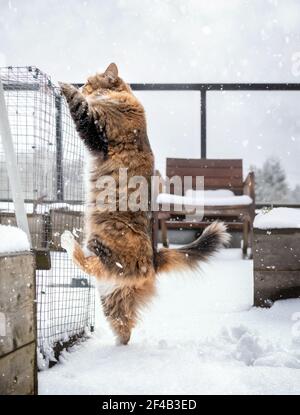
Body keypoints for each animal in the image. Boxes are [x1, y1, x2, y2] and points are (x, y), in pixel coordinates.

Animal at [59, 63, 231, 346]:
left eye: (89, 82)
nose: (82, 85)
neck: (125, 99)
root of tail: (154, 257)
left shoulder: (96, 127)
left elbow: (78, 105)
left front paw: (64, 85)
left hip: (103, 241)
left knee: (86, 262)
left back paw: (67, 239)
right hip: (113, 296)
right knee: (124, 326)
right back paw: (117, 346)